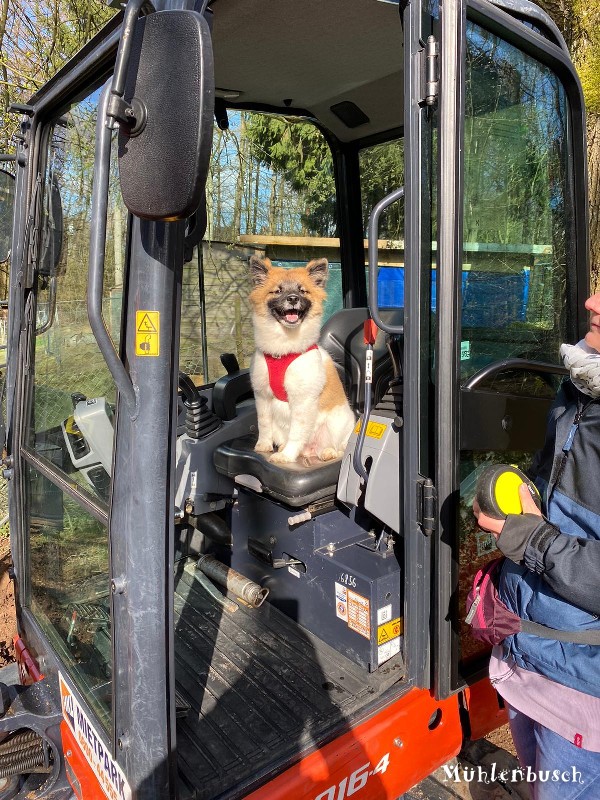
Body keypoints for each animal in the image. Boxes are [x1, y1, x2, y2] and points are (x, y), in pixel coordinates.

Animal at [247, 258, 354, 462]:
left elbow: (296, 433)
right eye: (278, 290)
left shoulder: (302, 400)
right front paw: (264, 445)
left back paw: (328, 452)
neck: (283, 351)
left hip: (338, 425)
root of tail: (310, 450)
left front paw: (286, 456)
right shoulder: (262, 395)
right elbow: (263, 424)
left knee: (342, 448)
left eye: (302, 291)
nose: (293, 298)